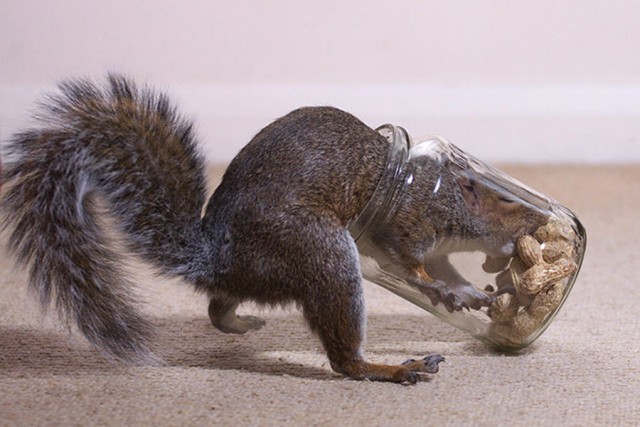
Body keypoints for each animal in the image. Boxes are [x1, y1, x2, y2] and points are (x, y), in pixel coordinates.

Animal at [0, 75, 546, 384]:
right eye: (503, 199)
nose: (542, 219)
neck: (434, 190)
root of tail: (217, 257)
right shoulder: (404, 226)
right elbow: (409, 266)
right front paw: (445, 293)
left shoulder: (438, 249)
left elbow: (446, 272)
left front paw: (468, 294)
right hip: (322, 252)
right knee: (343, 361)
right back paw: (392, 369)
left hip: (270, 272)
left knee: (219, 303)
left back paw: (240, 324)